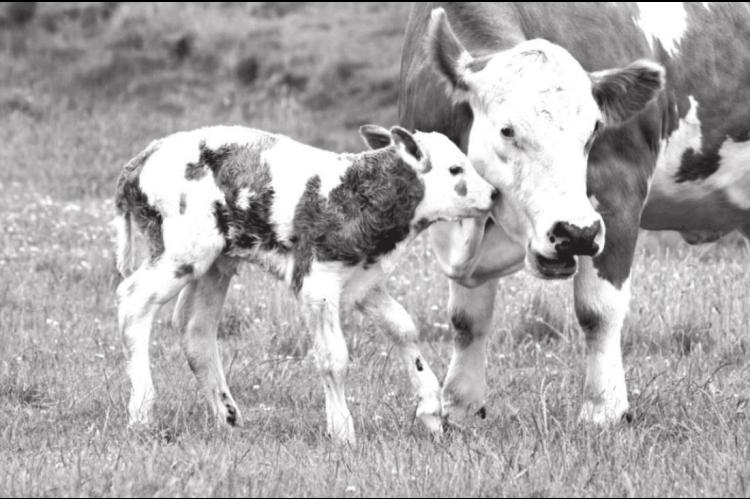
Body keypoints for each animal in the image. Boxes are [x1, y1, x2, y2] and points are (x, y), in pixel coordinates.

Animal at [113, 124, 497, 444]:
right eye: (455, 169)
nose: (494, 194)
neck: (356, 193)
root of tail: (142, 158)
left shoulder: (364, 281)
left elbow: (404, 328)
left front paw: (431, 412)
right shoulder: (317, 283)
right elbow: (333, 358)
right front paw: (342, 432)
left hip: (215, 262)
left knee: (195, 328)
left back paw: (228, 417)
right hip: (183, 250)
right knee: (133, 300)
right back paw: (142, 413)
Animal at [399, 2, 750, 425]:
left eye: (594, 130)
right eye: (507, 130)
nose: (574, 233)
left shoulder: (617, 191)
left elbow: (598, 310)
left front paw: (603, 409)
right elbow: (467, 318)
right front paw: (461, 407)